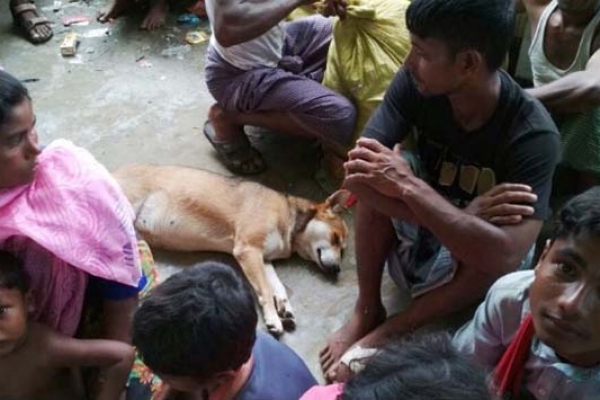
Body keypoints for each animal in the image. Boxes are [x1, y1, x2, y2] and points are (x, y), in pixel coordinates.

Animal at [113, 164, 350, 336]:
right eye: (335, 237)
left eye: (343, 250)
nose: (338, 269)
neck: (290, 220)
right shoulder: (248, 250)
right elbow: (265, 290)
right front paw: (272, 318)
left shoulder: (263, 259)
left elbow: (277, 287)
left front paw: (284, 307)